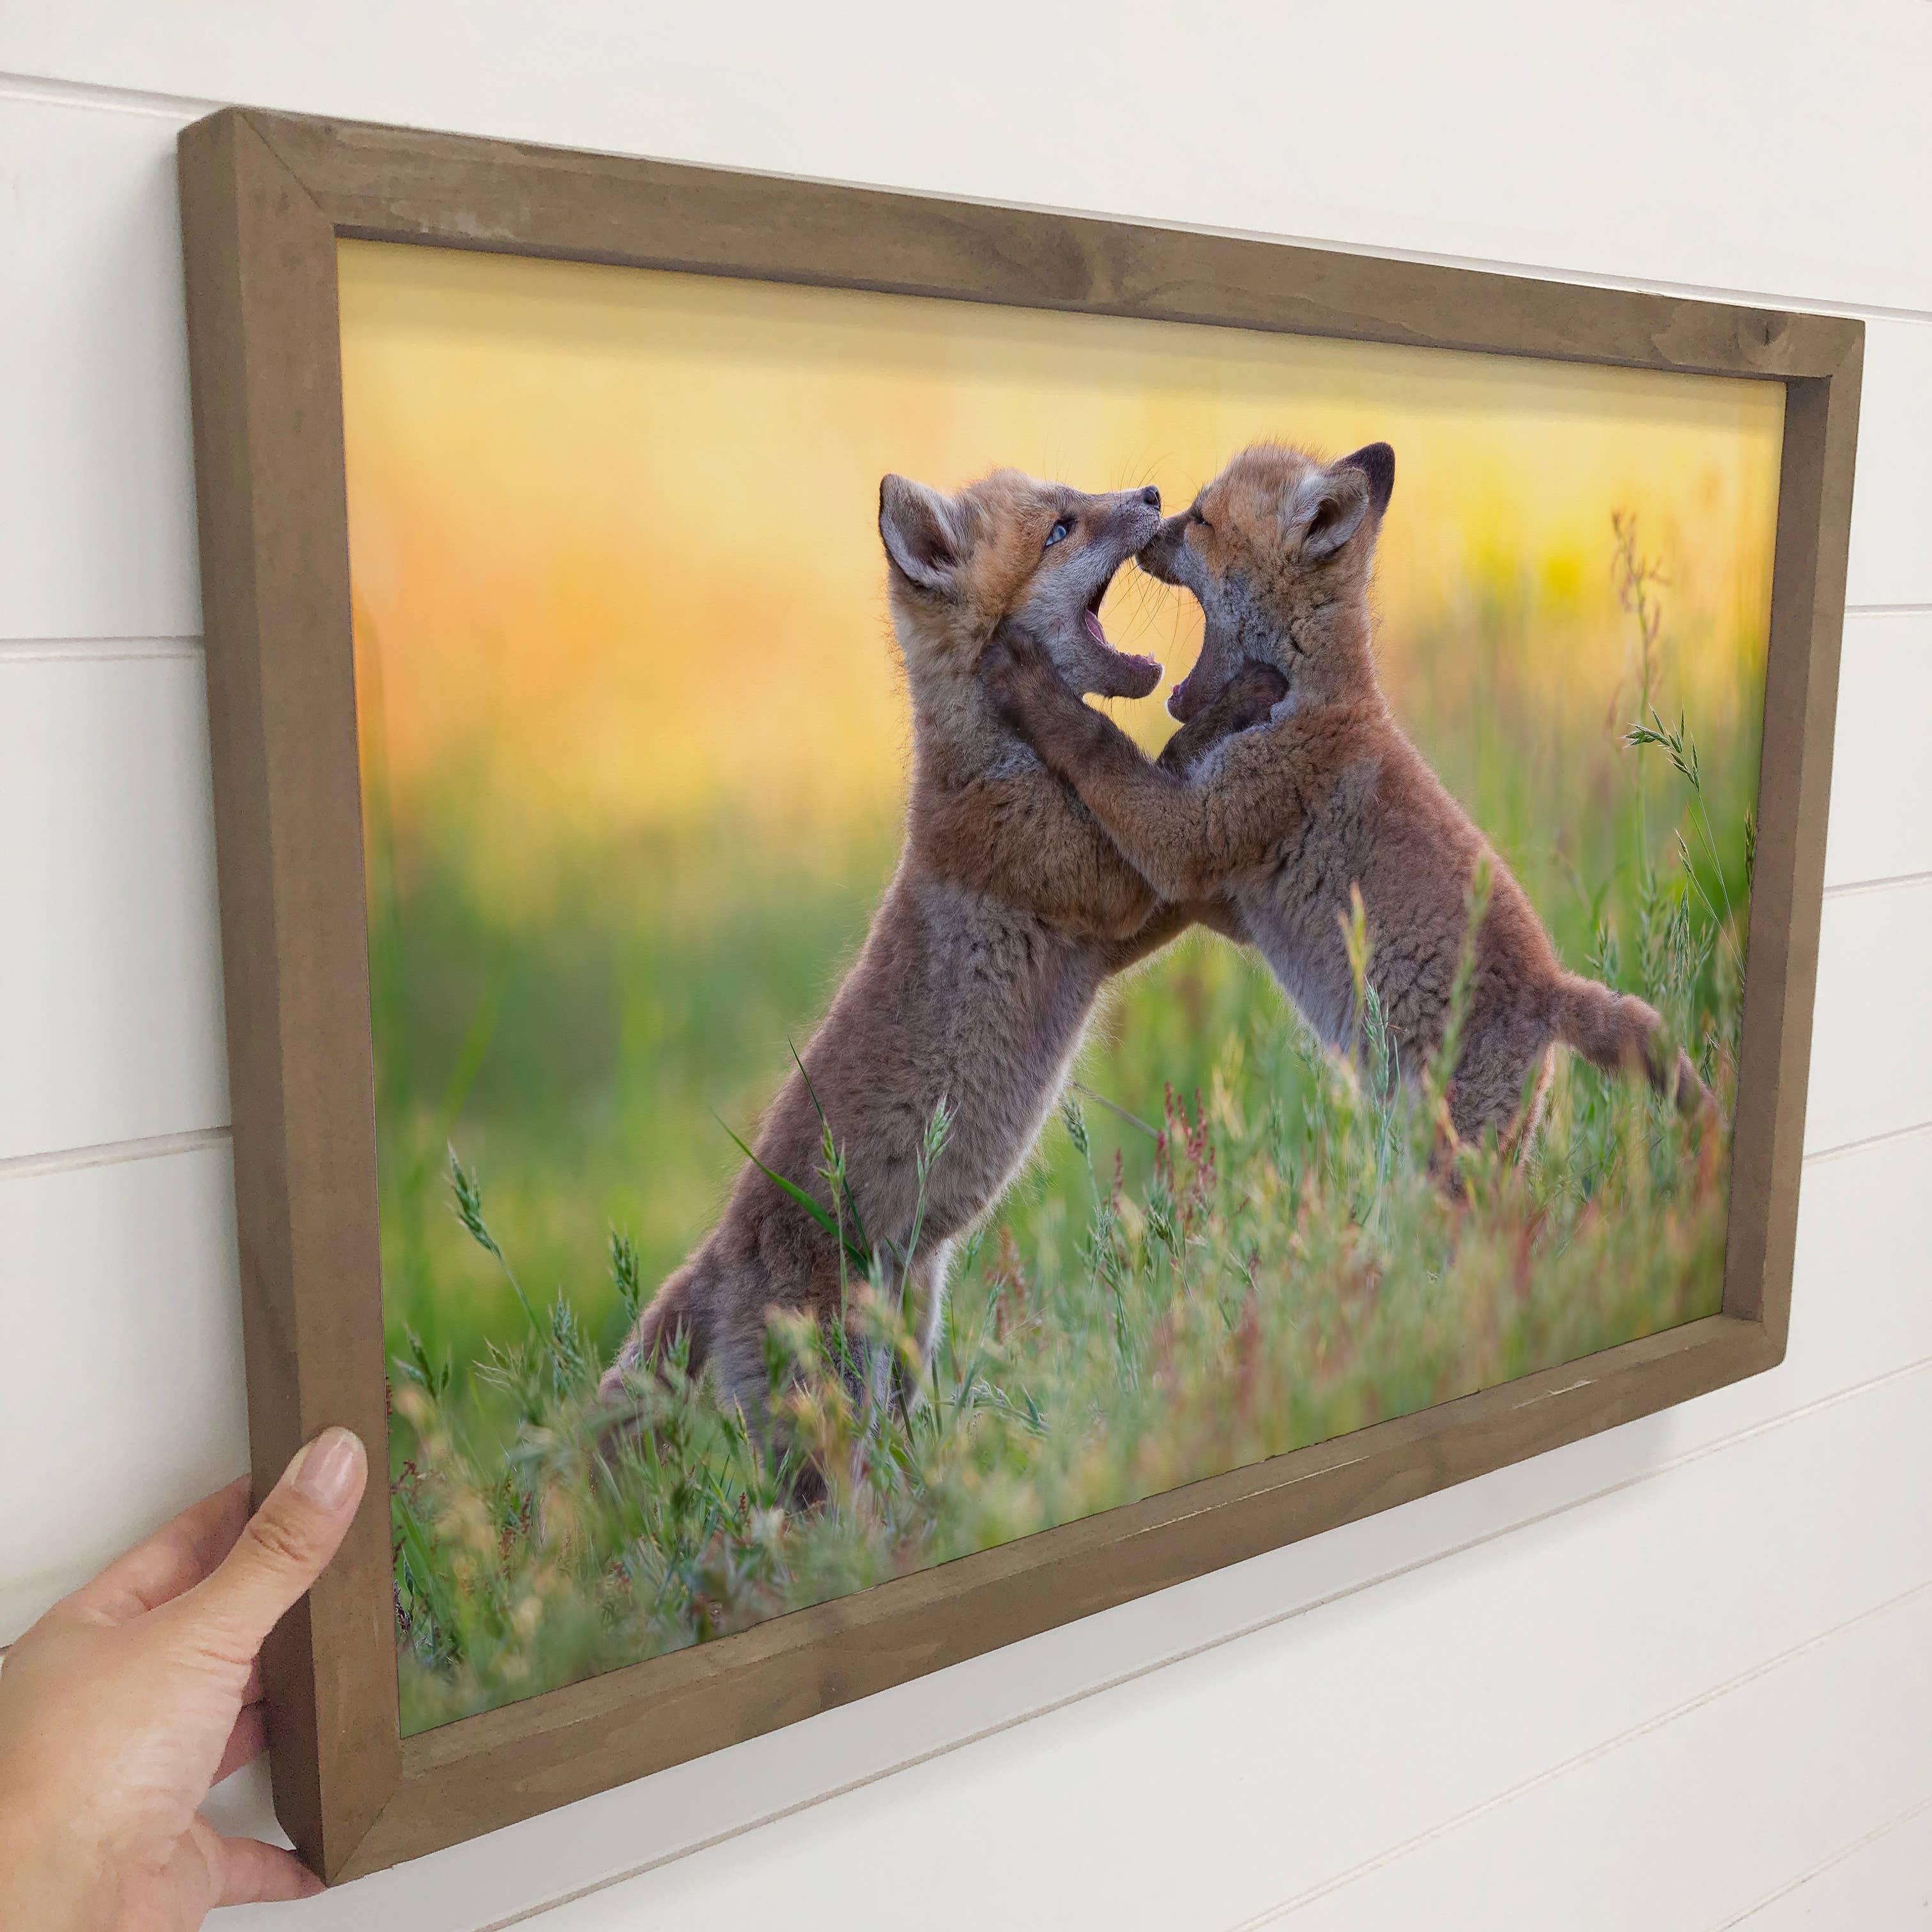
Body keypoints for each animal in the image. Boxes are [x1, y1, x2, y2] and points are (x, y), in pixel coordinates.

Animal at [599, 468, 1280, 1440]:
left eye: (1076, 498)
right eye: (1061, 531)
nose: (1152, 491)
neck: (998, 764)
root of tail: (718, 1254)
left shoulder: (1118, 923)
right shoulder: (1119, 893)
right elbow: (1164, 763)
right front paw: (1242, 699)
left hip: (908, 1349)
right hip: (833, 1411)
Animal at [981, 439, 1712, 1152]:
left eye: (1202, 520)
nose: (1152, 518)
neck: (1310, 701)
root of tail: (1555, 989)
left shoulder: (1195, 835)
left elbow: (1098, 745)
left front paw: (1031, 685)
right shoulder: (1227, 896)